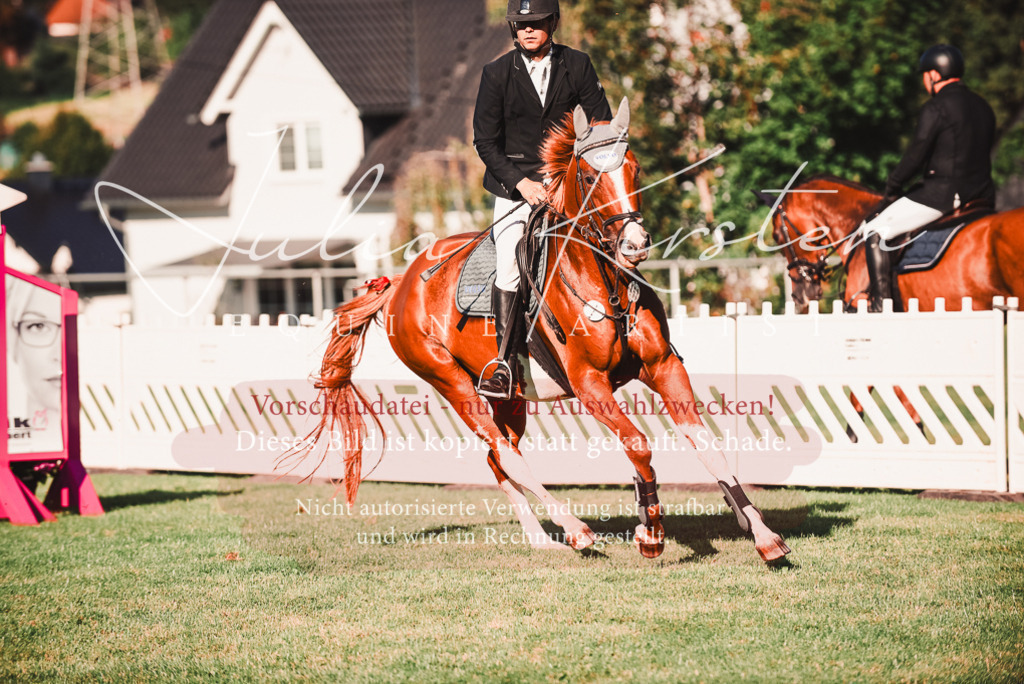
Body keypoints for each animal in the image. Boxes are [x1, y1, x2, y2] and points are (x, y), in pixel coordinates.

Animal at [303, 98, 790, 563]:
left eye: (634, 169)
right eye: (590, 176)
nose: (635, 246)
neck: (607, 284)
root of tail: (401, 283)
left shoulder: (664, 366)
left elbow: (707, 444)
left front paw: (763, 535)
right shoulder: (590, 383)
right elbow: (638, 445)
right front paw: (650, 533)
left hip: (510, 398)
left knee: (499, 456)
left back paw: (542, 540)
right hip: (450, 381)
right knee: (505, 453)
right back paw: (575, 531)